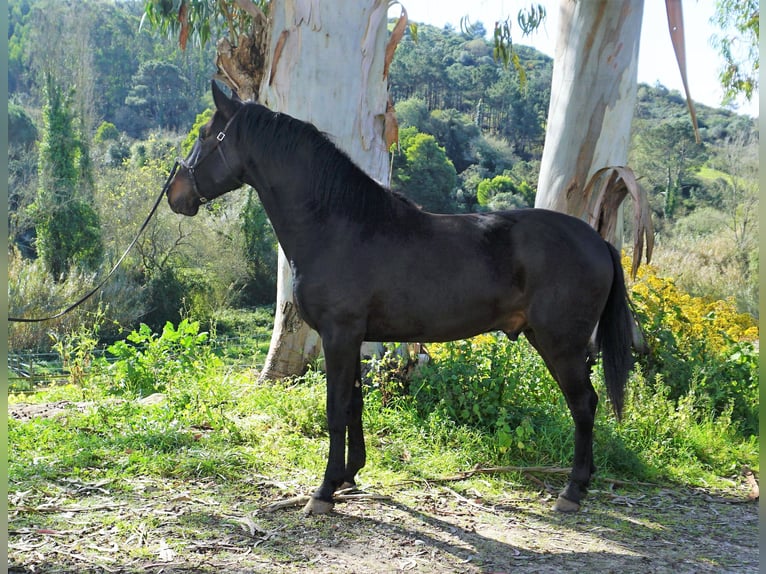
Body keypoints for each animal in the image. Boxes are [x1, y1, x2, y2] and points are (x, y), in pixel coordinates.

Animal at [170, 81, 640, 516]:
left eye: (205, 134)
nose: (176, 194)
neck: (338, 225)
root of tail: (598, 242)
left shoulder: (338, 334)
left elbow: (335, 408)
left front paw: (323, 492)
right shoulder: (352, 339)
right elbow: (354, 403)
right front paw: (348, 476)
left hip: (560, 344)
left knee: (584, 404)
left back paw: (572, 491)